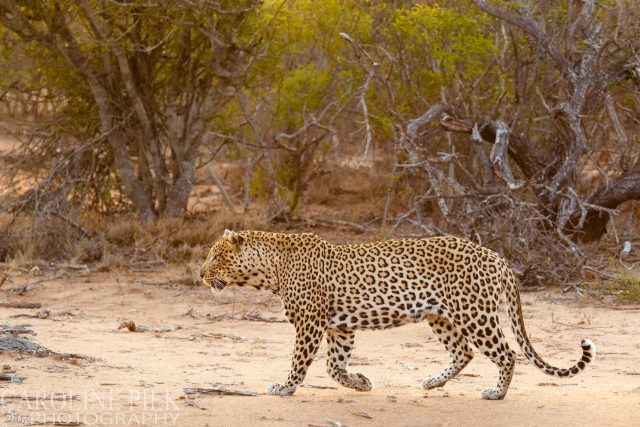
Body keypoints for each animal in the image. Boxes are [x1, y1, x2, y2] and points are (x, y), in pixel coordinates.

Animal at [200, 231, 596, 402]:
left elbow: (301, 361)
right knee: (463, 352)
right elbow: (335, 366)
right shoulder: (340, 327)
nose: (200, 274)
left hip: (474, 313)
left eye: (216, 256)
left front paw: (284, 387)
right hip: (441, 316)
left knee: (507, 354)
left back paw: (496, 393)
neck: (270, 269)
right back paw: (433, 383)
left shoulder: (310, 322)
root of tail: (497, 258)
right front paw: (361, 382)